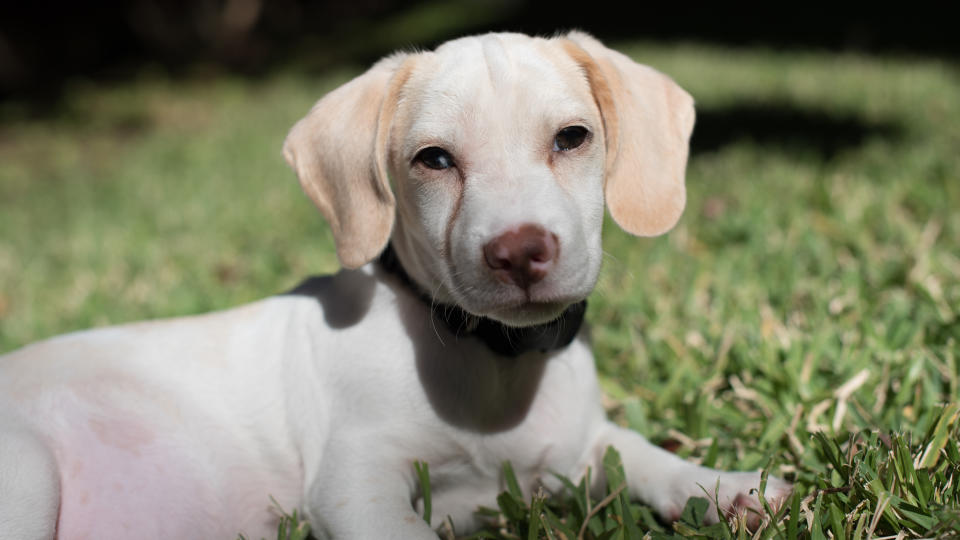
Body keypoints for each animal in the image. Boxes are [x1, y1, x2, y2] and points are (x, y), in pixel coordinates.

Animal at [0, 30, 788, 540]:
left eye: (572, 138)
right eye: (433, 159)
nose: (519, 251)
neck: (492, 363)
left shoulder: (579, 447)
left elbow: (641, 454)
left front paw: (723, 488)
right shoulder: (356, 486)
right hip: (27, 473)